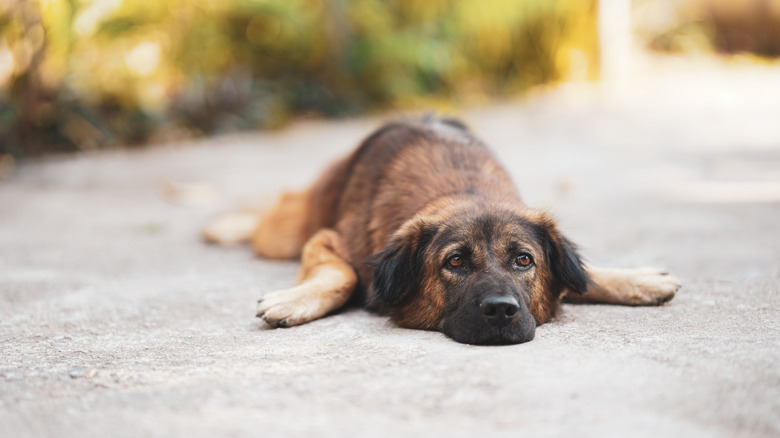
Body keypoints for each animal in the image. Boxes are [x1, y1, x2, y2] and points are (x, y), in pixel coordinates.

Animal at [204, 116, 680, 346]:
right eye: (455, 261)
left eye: (523, 259)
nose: (501, 311)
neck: (463, 190)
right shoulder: (328, 239)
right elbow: (343, 274)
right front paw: (295, 300)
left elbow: (583, 274)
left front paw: (637, 280)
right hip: (288, 227)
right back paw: (224, 225)